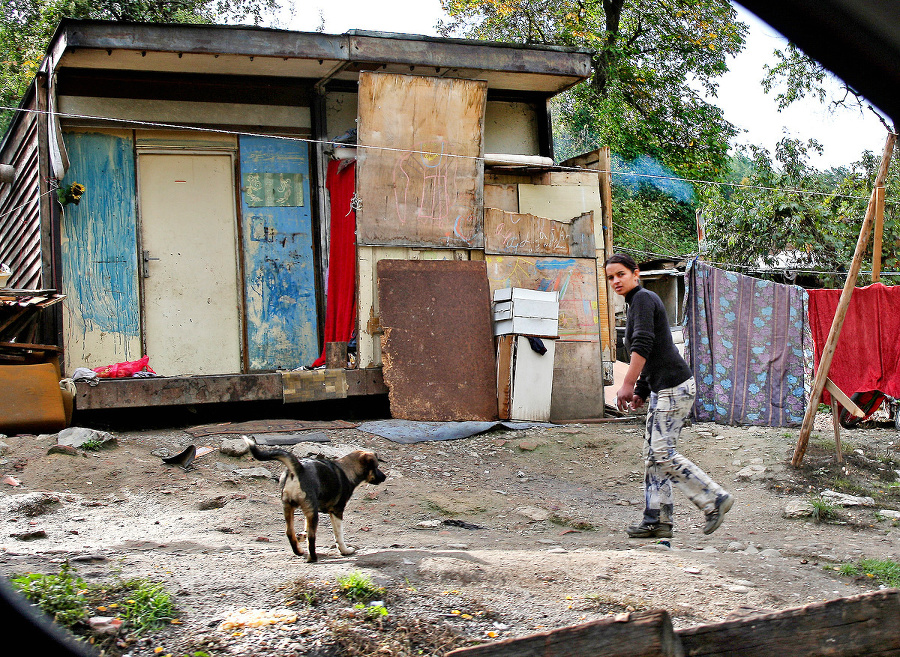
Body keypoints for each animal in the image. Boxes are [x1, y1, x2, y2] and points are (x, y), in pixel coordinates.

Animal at [246, 438, 386, 560]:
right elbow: (338, 535)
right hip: (312, 512)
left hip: (289, 507)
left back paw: (299, 551)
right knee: (312, 537)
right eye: (376, 467)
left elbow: (306, 528)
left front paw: (301, 536)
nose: (384, 477)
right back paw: (312, 558)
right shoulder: (337, 511)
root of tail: (298, 468)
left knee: (289, 532)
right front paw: (345, 551)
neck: (347, 469)